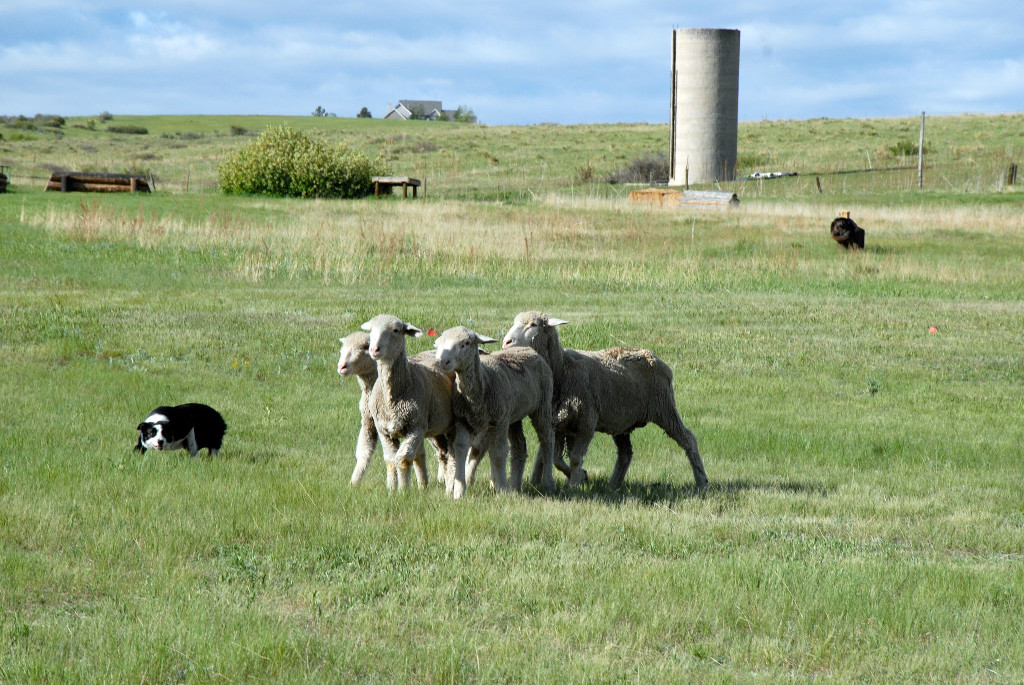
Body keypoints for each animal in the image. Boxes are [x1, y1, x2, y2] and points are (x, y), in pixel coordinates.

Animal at [337, 331, 449, 486]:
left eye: (365, 347)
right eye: (343, 348)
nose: (341, 366)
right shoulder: (368, 422)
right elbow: (363, 453)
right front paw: (354, 483)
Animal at [361, 315, 462, 496]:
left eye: (396, 330)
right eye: (371, 330)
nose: (374, 349)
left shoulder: (416, 428)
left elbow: (403, 459)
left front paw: (403, 491)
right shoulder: (384, 430)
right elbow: (391, 460)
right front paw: (392, 490)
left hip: (447, 425)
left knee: (452, 455)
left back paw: (450, 487)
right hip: (436, 428)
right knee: (439, 454)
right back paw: (427, 485)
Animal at [434, 326, 556, 493]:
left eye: (466, 343)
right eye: (439, 344)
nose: (442, 362)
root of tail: (529, 349)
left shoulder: (499, 422)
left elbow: (498, 454)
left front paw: (502, 489)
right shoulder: (463, 422)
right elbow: (461, 450)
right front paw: (459, 492)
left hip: (542, 405)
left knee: (547, 440)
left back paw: (547, 482)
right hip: (513, 416)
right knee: (519, 446)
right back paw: (514, 486)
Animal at [501, 311, 708, 490]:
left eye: (533, 324)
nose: (506, 342)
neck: (563, 369)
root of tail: (653, 356)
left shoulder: (586, 422)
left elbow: (574, 458)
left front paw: (574, 485)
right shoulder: (559, 422)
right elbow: (553, 458)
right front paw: (579, 476)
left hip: (665, 408)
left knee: (688, 439)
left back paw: (702, 481)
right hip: (624, 421)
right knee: (625, 453)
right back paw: (613, 485)